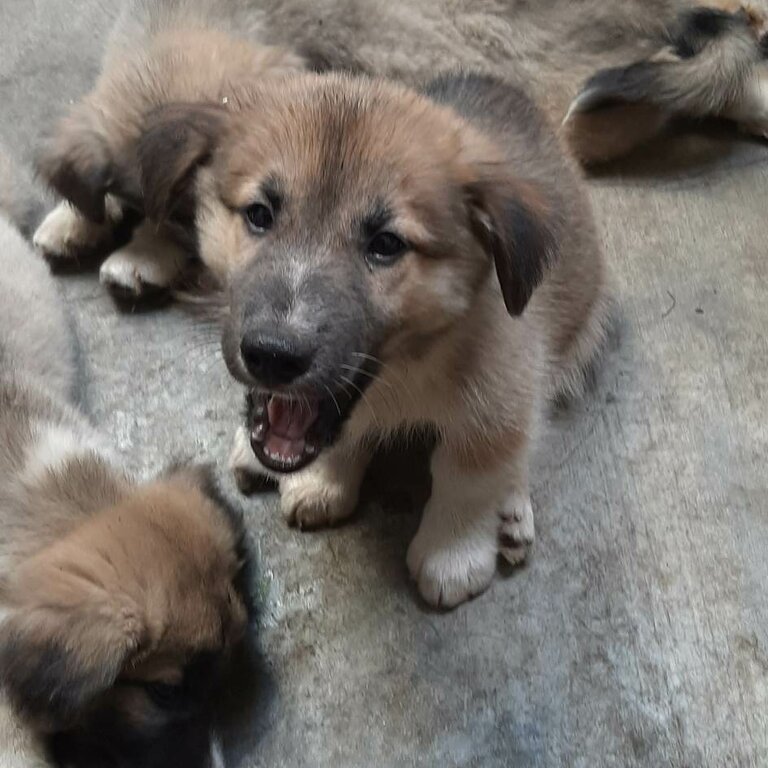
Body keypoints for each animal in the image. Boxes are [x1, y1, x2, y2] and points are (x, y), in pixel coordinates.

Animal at [134, 72, 612, 608]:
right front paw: (322, 483)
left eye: (386, 244)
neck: (406, 369)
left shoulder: (501, 388)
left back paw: (511, 511)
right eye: (259, 214)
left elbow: (468, 473)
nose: (273, 356)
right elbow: (343, 437)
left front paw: (454, 555)